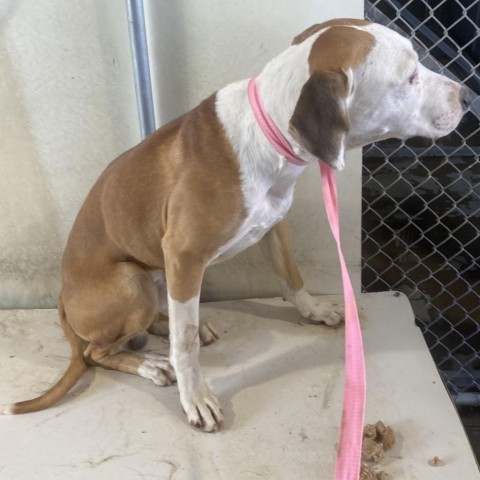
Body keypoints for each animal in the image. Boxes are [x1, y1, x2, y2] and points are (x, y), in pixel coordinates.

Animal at [1, 18, 470, 434]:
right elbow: (186, 343)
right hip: (131, 282)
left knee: (149, 322)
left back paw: (164, 326)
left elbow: (291, 278)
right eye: (410, 77)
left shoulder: (275, 226)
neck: (270, 136)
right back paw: (152, 364)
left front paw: (313, 310)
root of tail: (62, 299)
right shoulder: (183, 256)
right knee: (98, 351)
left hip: (154, 280)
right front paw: (195, 397)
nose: (466, 94)